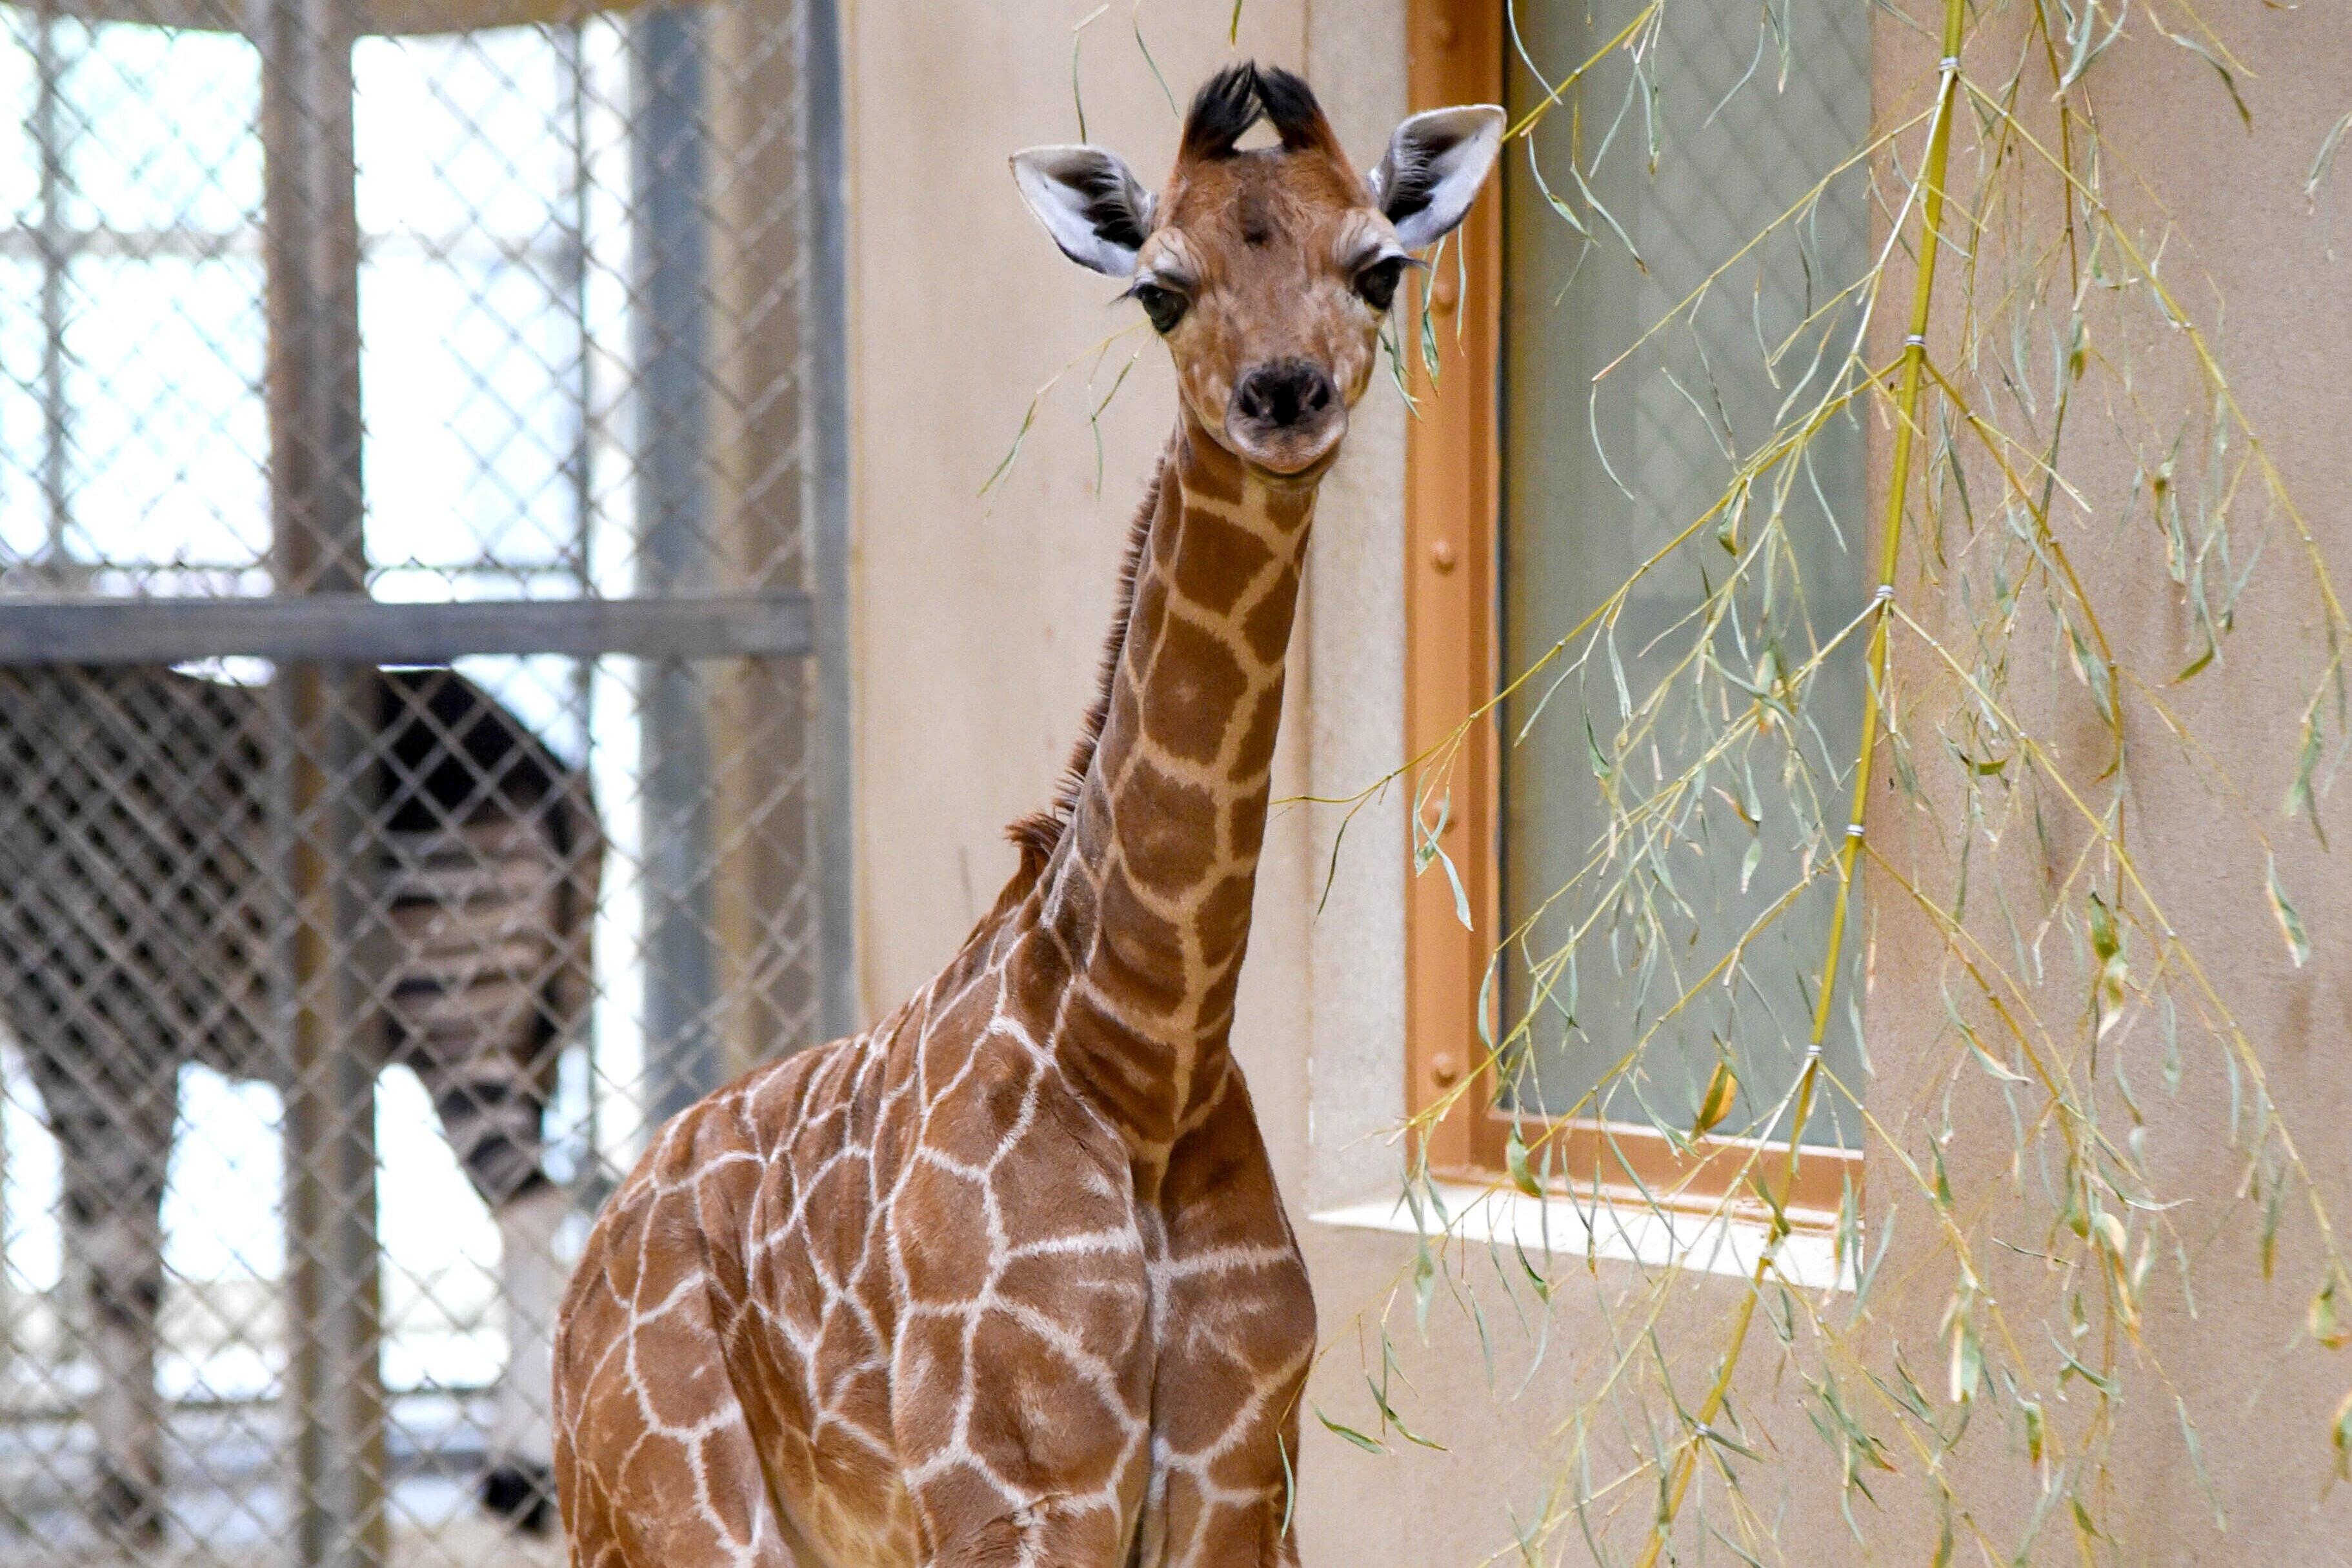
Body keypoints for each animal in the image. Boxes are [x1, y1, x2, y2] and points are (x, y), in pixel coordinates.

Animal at [552, 63, 1501, 1568]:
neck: (1143, 1061)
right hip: (668, 1519)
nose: (1283, 397)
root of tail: (596, 1254)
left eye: (1378, 267)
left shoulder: (1241, 1485)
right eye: (1160, 288)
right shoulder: (1013, 1490)